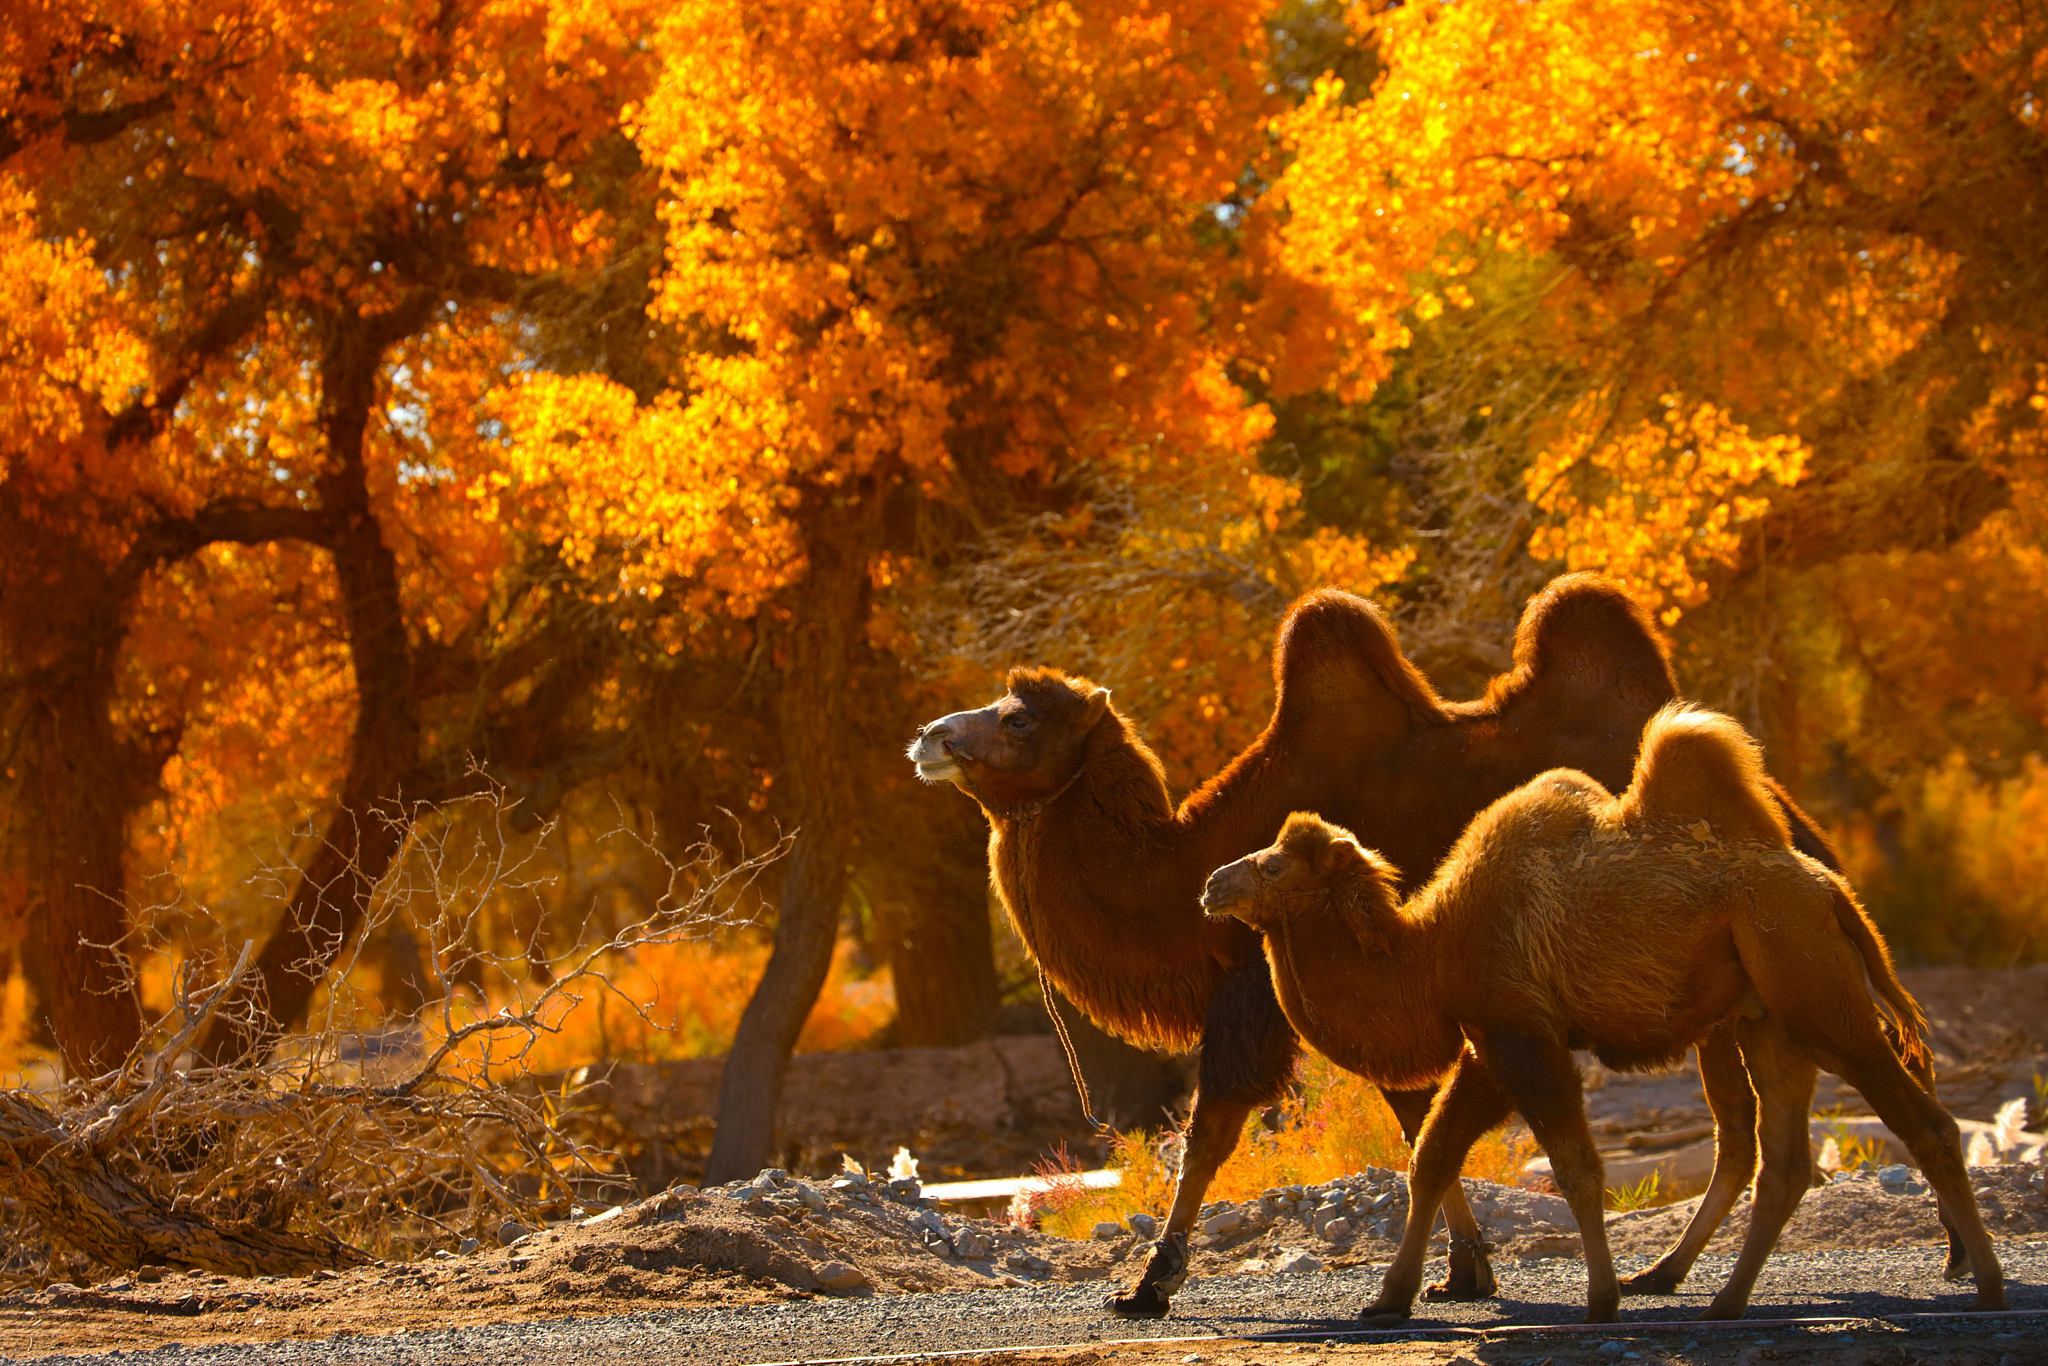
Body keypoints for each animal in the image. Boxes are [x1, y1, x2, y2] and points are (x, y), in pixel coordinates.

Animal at [913, 573, 1859, 1310]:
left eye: (1020, 722)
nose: (929, 737)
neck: (1176, 874)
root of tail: (1806, 827)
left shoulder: (1256, 985)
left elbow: (1214, 1129)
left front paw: (1151, 1283)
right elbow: (1413, 1118)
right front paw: (1464, 1271)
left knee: (1750, 1124)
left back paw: (1670, 1273)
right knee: (1741, 1131)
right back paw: (1665, 1273)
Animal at [1196, 704, 1998, 1327]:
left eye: (1275, 865)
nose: (1213, 884)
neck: (1433, 952)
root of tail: (1834, 891)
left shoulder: (1522, 1036)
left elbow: (1576, 1166)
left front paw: (1601, 1300)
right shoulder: (1490, 1043)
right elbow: (1432, 1158)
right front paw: (1391, 1300)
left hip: (1818, 996)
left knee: (1922, 1123)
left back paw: (1985, 1283)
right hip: (1767, 1020)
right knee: (1782, 1160)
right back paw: (1722, 1301)